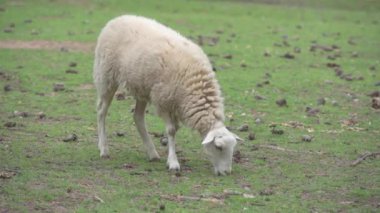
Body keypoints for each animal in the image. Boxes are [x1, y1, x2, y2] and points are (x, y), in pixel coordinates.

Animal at [93, 14, 240, 175]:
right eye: (219, 147)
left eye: (233, 148)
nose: (227, 173)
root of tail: (118, 18)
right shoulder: (164, 101)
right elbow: (171, 131)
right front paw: (173, 162)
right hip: (106, 75)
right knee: (101, 111)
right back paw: (104, 149)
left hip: (143, 87)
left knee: (137, 117)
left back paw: (152, 153)